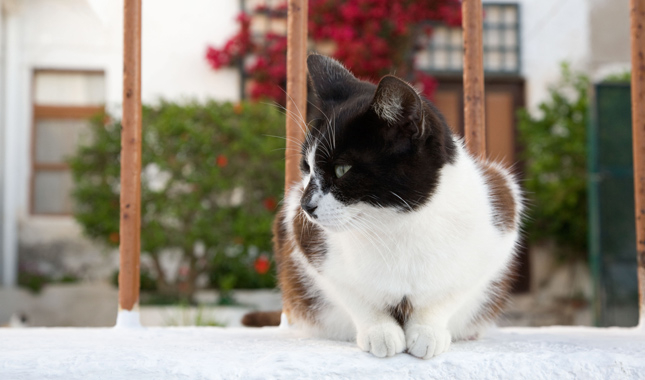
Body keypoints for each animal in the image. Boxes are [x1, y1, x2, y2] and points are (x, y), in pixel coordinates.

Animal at [253, 54, 524, 360]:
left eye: (342, 169)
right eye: (307, 168)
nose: (306, 205)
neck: (395, 224)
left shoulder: (502, 216)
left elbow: (451, 291)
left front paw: (428, 331)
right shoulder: (303, 238)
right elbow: (352, 294)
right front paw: (380, 332)